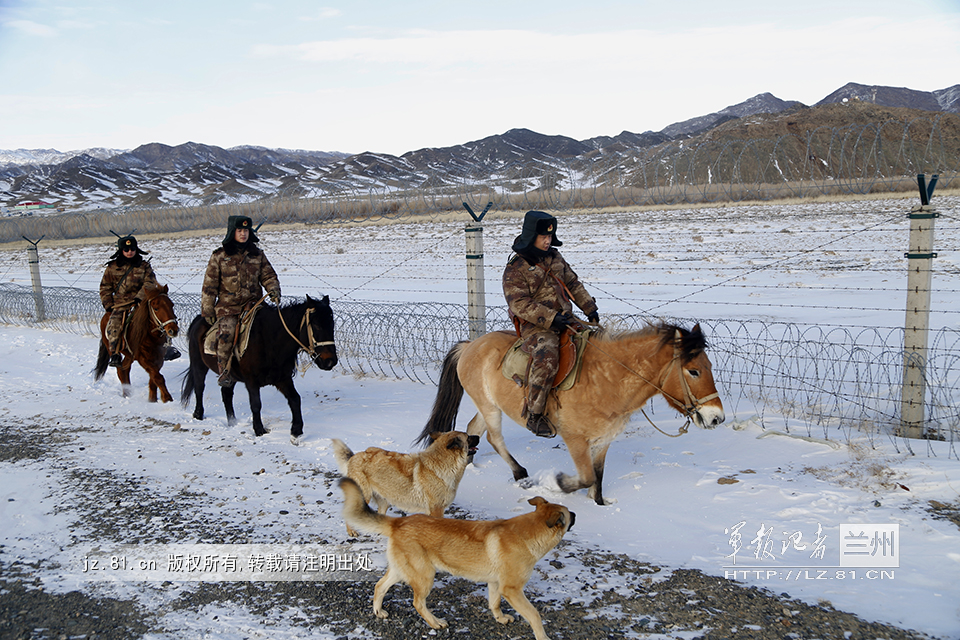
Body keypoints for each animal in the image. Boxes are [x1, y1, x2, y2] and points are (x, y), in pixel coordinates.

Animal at [332, 430, 478, 536]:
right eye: (468, 437)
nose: (477, 436)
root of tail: (354, 456)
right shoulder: (436, 509)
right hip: (364, 495)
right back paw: (351, 531)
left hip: (384, 500)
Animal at [340, 478, 572, 636]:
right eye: (570, 515)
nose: (576, 515)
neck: (527, 532)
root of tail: (398, 522)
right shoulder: (512, 590)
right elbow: (534, 615)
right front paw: (542, 636)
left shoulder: (495, 584)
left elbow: (494, 603)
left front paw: (500, 618)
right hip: (425, 576)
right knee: (417, 603)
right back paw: (435, 622)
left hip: (402, 570)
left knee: (380, 586)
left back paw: (378, 611)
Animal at [416, 324, 724, 504]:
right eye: (693, 371)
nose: (716, 418)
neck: (607, 379)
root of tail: (470, 345)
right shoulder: (575, 439)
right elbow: (586, 477)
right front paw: (558, 483)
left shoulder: (603, 440)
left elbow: (598, 478)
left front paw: (599, 504)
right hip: (490, 407)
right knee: (493, 437)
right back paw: (520, 473)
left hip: (488, 405)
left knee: (473, 430)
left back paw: (468, 465)